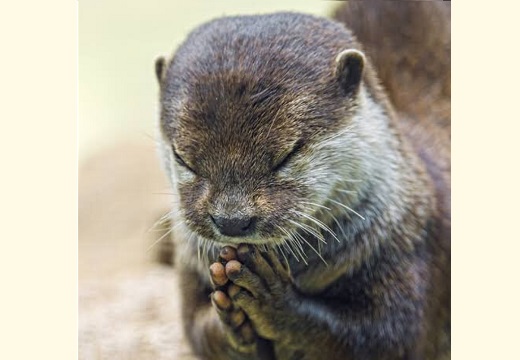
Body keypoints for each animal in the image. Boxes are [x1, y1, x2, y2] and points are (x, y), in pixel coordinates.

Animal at [152, 1, 448, 358]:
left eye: (287, 155)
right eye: (183, 158)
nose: (232, 221)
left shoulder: (410, 246)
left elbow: (387, 337)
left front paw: (272, 299)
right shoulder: (190, 267)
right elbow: (197, 329)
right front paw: (231, 318)